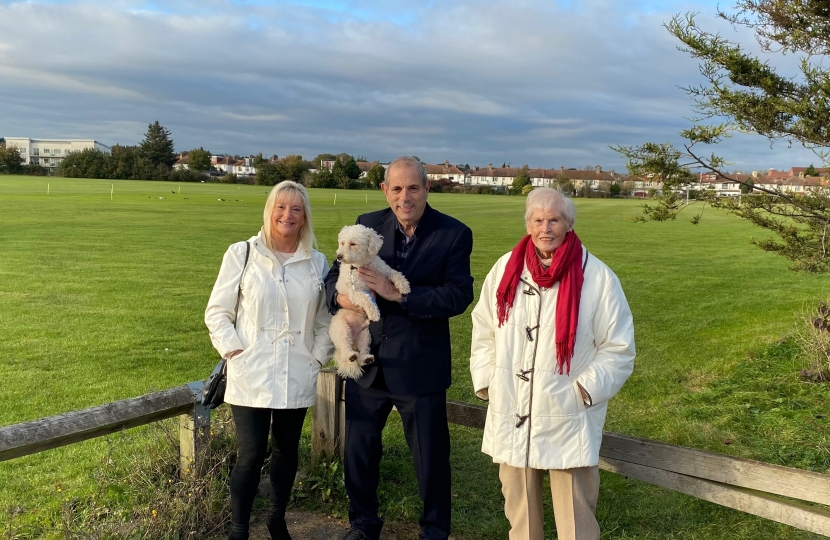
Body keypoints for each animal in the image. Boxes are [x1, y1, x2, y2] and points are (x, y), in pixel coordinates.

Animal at [330, 224, 412, 380]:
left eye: (353, 244)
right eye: (342, 243)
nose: (339, 256)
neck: (360, 265)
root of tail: (354, 342)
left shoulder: (382, 270)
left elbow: (395, 273)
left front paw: (404, 285)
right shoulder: (354, 292)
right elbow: (366, 298)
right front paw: (374, 313)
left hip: (365, 335)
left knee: (363, 350)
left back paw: (366, 358)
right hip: (342, 329)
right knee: (345, 349)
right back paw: (350, 355)